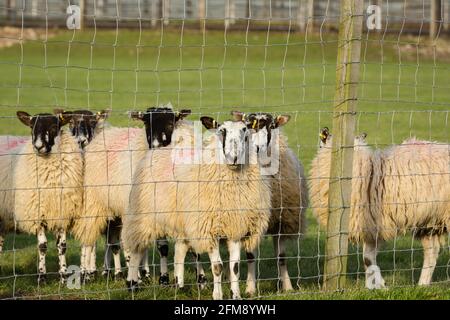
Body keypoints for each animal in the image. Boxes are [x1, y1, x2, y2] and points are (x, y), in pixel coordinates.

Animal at [71, 105, 192, 282]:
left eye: (171, 123)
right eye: (146, 124)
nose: (156, 146)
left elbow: (161, 247)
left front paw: (162, 278)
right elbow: (130, 247)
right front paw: (136, 278)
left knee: (111, 241)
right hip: (94, 203)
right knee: (88, 239)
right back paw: (86, 273)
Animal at [121, 117, 272, 300]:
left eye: (245, 131)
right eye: (221, 131)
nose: (233, 157)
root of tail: (160, 149)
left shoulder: (235, 228)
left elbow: (234, 267)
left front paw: (235, 295)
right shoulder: (210, 229)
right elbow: (218, 267)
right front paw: (217, 295)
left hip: (181, 221)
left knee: (180, 249)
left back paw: (178, 284)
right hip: (143, 216)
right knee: (136, 249)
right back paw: (132, 283)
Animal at [232, 111, 310, 296]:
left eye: (272, 125)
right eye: (246, 126)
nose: (257, 147)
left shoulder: (281, 222)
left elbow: (281, 258)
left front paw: (287, 287)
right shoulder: (251, 221)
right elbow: (251, 257)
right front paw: (250, 288)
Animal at [312, 129, 448, 288]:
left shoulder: (373, 224)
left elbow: (367, 258)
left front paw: (379, 284)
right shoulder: (370, 226)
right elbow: (367, 259)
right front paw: (375, 285)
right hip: (429, 222)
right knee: (431, 252)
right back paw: (422, 285)